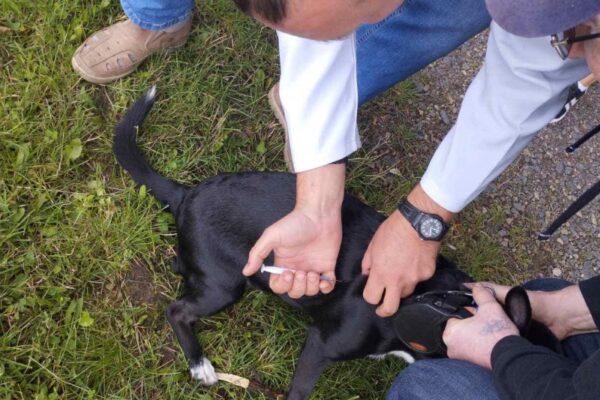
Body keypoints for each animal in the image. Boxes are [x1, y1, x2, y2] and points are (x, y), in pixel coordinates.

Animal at [113, 88, 556, 399]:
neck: (436, 303)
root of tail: (186, 193)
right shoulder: (321, 345)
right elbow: (299, 391)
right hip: (224, 287)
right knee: (177, 311)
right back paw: (199, 365)